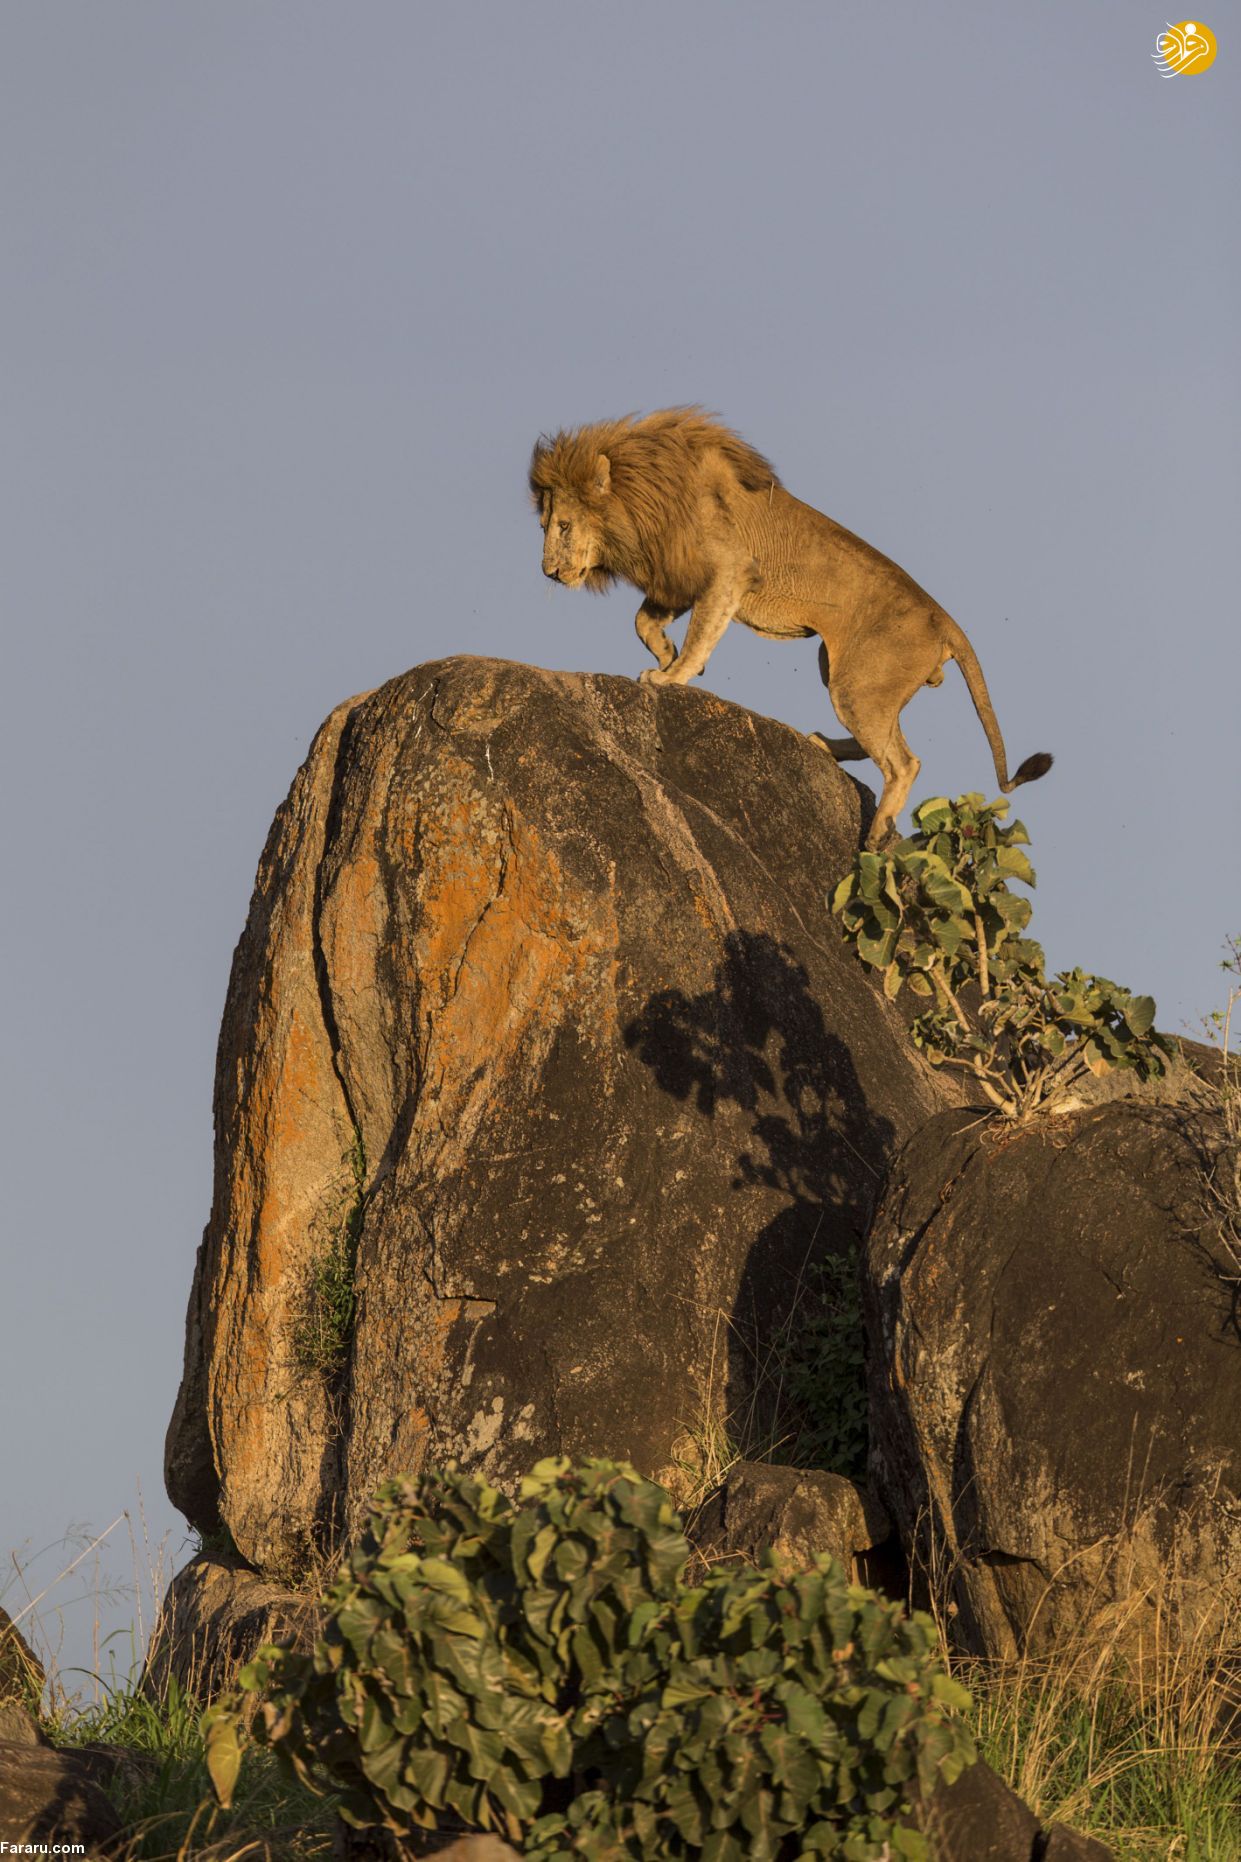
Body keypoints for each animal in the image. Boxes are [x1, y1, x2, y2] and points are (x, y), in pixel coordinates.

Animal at [525, 411, 1050, 849]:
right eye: (546, 525)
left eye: (564, 526)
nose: (548, 573)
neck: (644, 497)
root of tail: (945, 620)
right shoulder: (676, 576)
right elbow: (643, 621)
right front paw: (666, 655)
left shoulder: (728, 570)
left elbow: (700, 632)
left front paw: (673, 674)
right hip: (844, 672)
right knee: (884, 741)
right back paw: (821, 745)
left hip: (856, 683)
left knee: (904, 762)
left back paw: (877, 833)